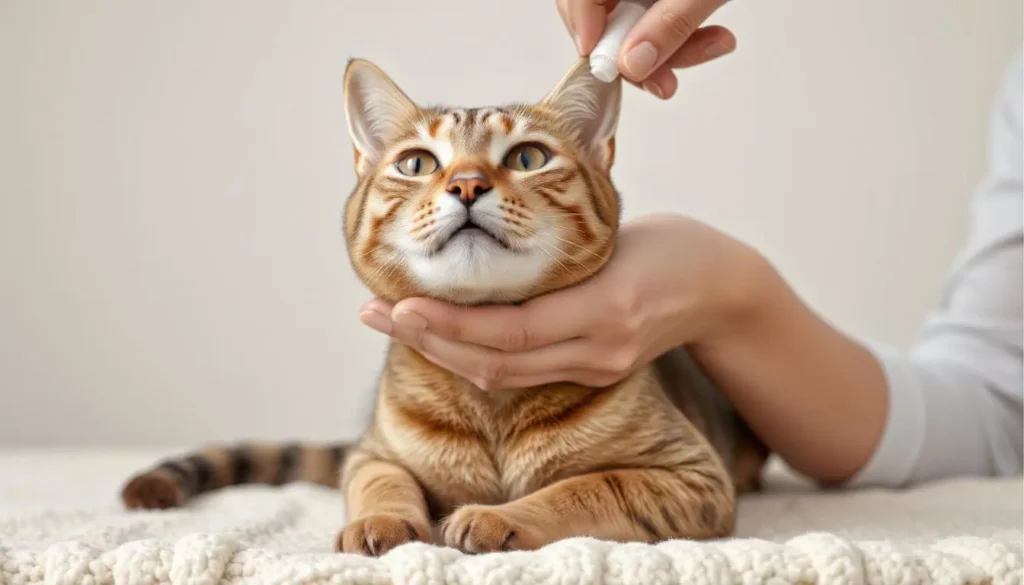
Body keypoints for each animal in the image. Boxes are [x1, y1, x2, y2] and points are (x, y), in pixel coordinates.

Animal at [117, 57, 770, 557]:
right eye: (417, 163)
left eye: (528, 157)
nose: (467, 184)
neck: (490, 406)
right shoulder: (369, 455)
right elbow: (383, 482)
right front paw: (380, 521)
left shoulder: (691, 475)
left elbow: (587, 487)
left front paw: (499, 516)